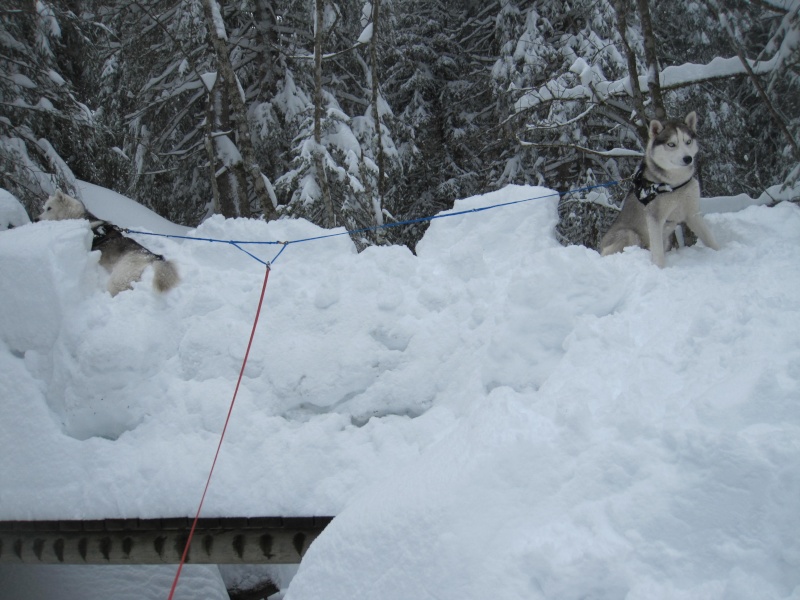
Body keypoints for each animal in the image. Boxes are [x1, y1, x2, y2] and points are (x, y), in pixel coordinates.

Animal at [37, 191, 180, 296]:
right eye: (44, 208)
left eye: (49, 208)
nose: (35, 219)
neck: (80, 217)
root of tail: (153, 256)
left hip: (118, 278)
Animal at [600, 112, 720, 268]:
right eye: (671, 144)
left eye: (688, 142)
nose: (687, 158)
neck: (674, 184)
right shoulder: (654, 218)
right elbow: (657, 251)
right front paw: (660, 268)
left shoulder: (692, 214)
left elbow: (709, 238)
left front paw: (720, 252)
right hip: (629, 234)